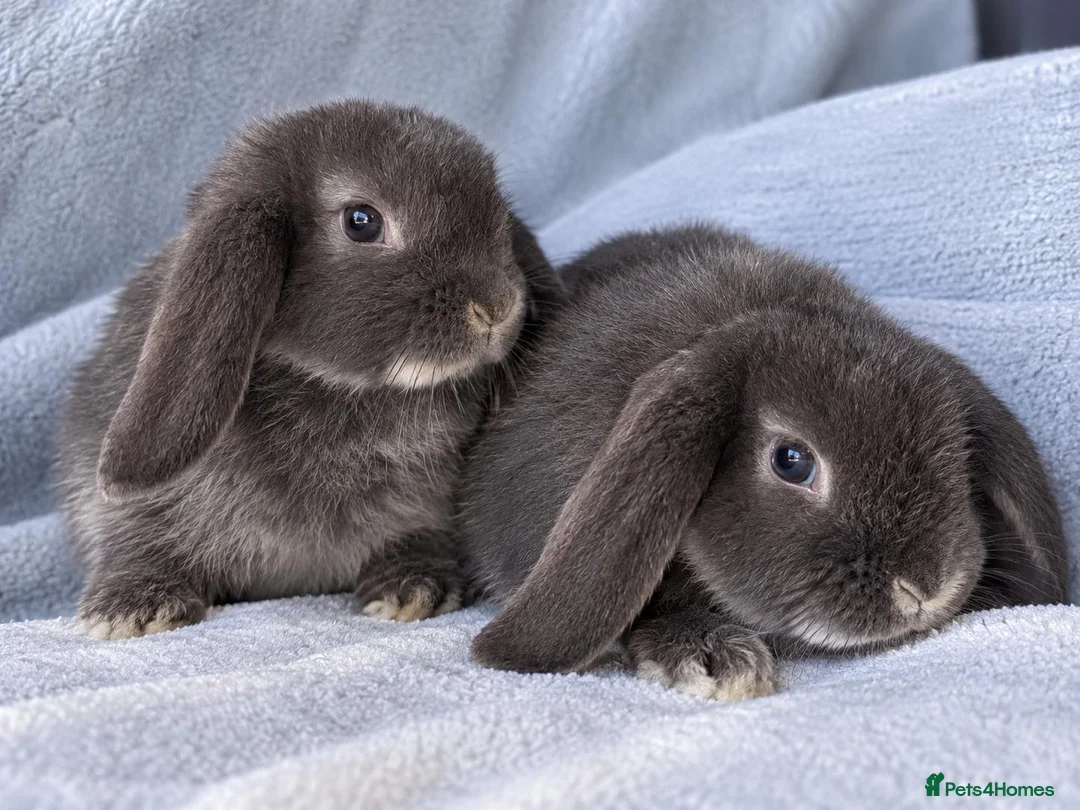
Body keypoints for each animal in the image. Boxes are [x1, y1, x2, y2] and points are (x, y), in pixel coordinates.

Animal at [57, 100, 563, 640]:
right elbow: (138, 537)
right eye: (361, 222)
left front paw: (414, 588)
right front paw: (133, 608)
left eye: (499, 215)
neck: (337, 388)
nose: (498, 307)